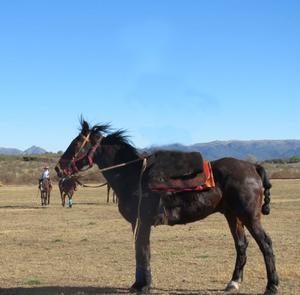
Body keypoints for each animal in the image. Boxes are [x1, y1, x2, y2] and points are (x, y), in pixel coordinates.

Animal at [55, 121, 278, 295]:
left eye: (77, 143)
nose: (58, 168)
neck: (133, 176)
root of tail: (253, 167)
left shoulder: (142, 222)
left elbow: (143, 251)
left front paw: (143, 286)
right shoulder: (138, 224)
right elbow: (140, 251)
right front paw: (139, 283)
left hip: (249, 216)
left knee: (265, 243)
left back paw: (272, 285)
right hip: (233, 216)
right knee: (241, 245)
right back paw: (233, 282)